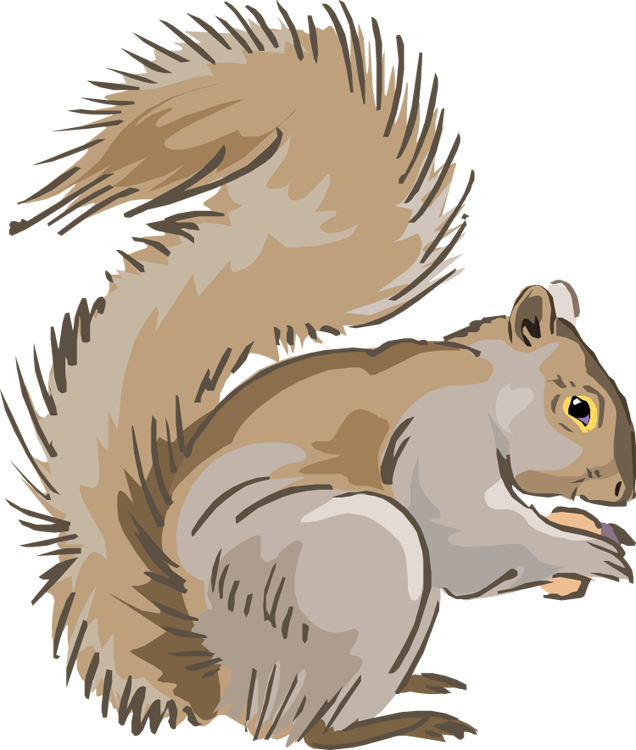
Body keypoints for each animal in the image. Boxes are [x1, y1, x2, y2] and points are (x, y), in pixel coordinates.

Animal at [8, 11, 634, 747]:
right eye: (579, 408)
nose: (619, 490)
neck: (484, 384)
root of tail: (219, 679)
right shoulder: (440, 435)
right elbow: (471, 533)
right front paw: (590, 554)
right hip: (360, 555)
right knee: (298, 720)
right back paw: (399, 715)